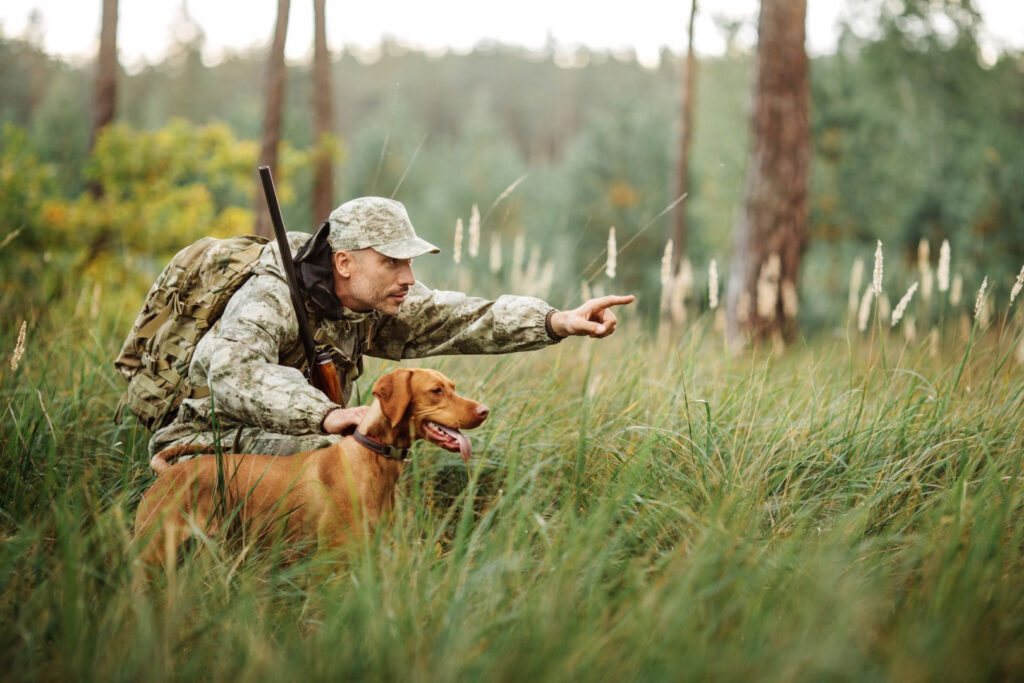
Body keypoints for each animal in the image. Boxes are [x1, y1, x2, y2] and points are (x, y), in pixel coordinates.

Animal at [132, 370, 487, 569]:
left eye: (452, 386)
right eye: (436, 390)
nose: (484, 411)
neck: (371, 457)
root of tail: (168, 473)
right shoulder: (332, 562)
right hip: (152, 553)